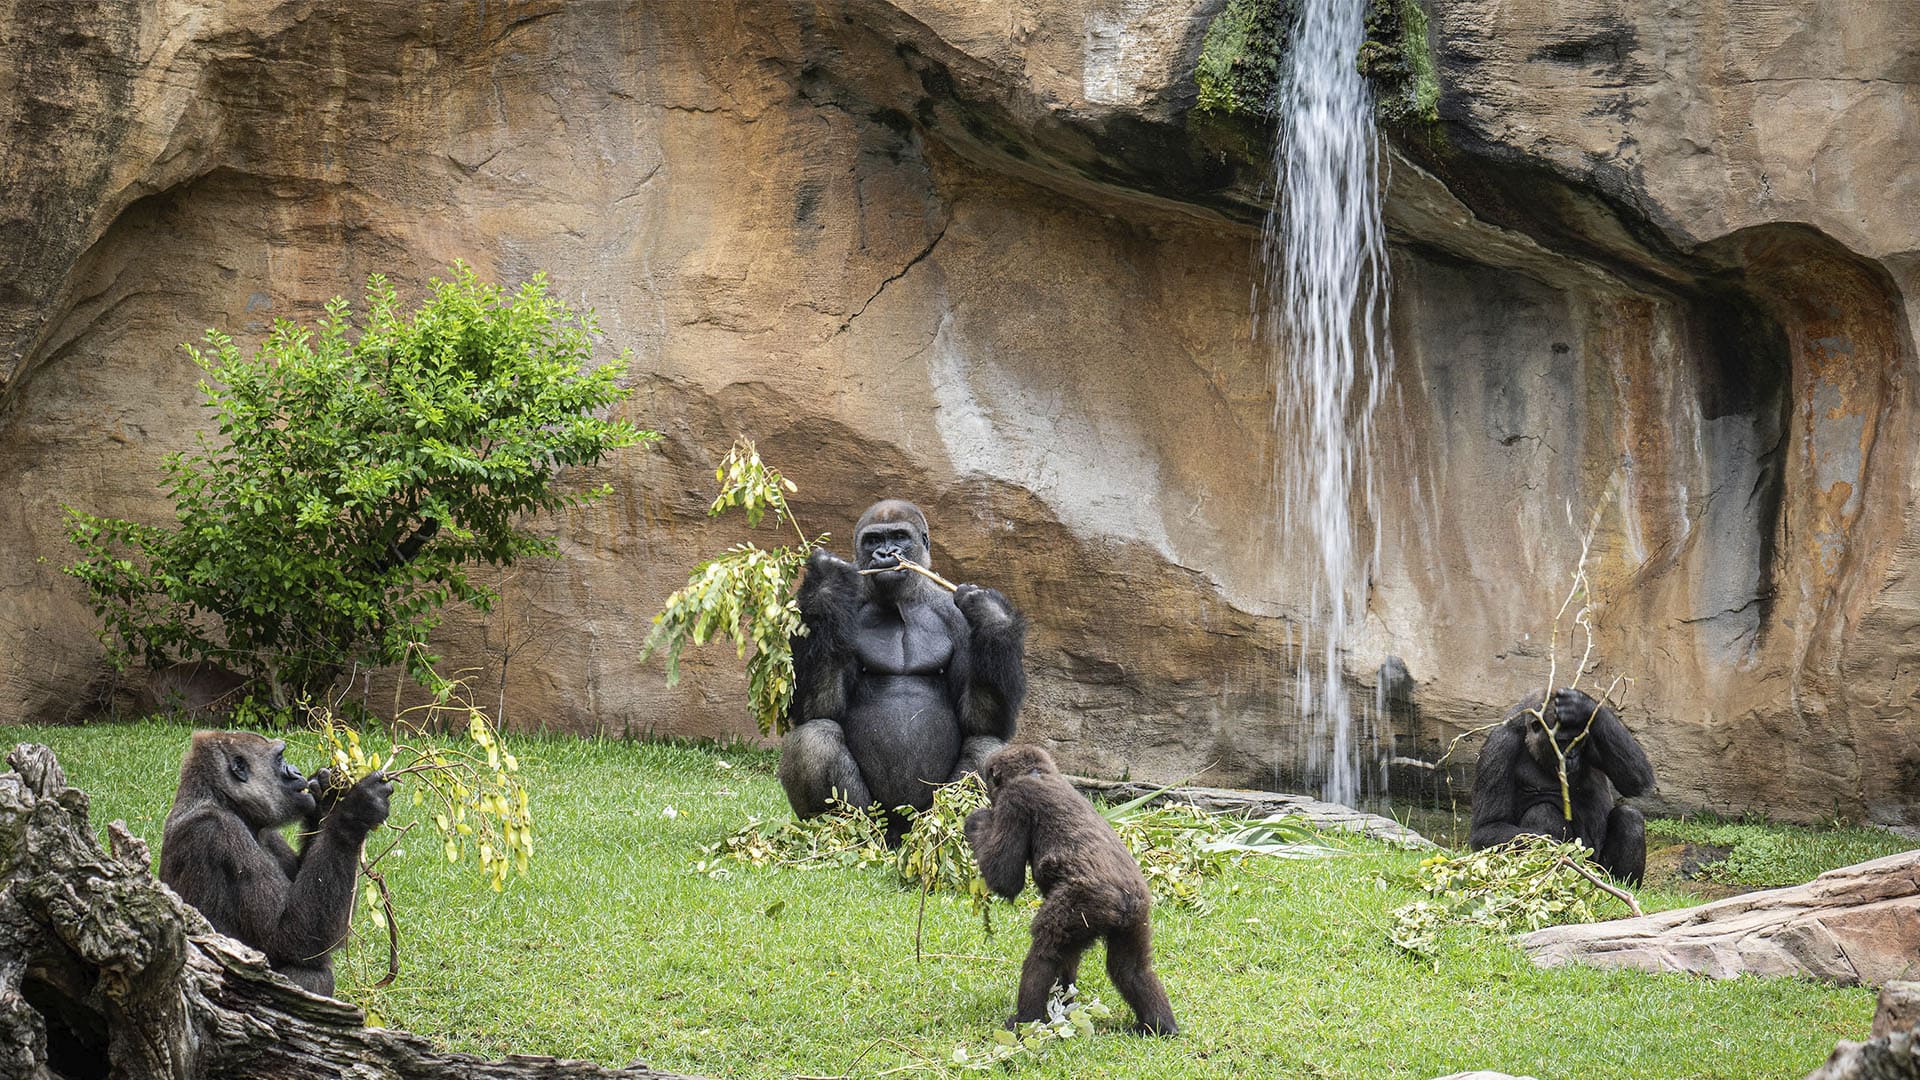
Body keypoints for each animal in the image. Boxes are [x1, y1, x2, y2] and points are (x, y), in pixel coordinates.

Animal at [162, 722, 393, 991]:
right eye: (280, 758)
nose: (296, 771)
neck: (221, 799)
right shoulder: (217, 831)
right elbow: (289, 937)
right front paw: (356, 812)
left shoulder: (269, 833)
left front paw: (328, 798)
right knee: (310, 972)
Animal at [967, 745, 1175, 1030]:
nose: (989, 797)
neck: (1037, 773)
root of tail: (1126, 899)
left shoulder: (1015, 800)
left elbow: (1005, 877)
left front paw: (976, 821)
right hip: (1135, 914)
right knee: (1130, 968)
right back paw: (1160, 1025)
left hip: (1087, 901)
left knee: (1045, 951)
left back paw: (1027, 1019)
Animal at [1466, 684, 1651, 880]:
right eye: (1562, 742)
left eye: (1579, 740)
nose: (1572, 757)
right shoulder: (1499, 745)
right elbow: (1487, 827)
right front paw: (1553, 847)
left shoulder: (1591, 733)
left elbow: (1635, 779)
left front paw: (1582, 705)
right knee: (1542, 810)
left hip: (1599, 868)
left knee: (1630, 816)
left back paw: (1620, 882)